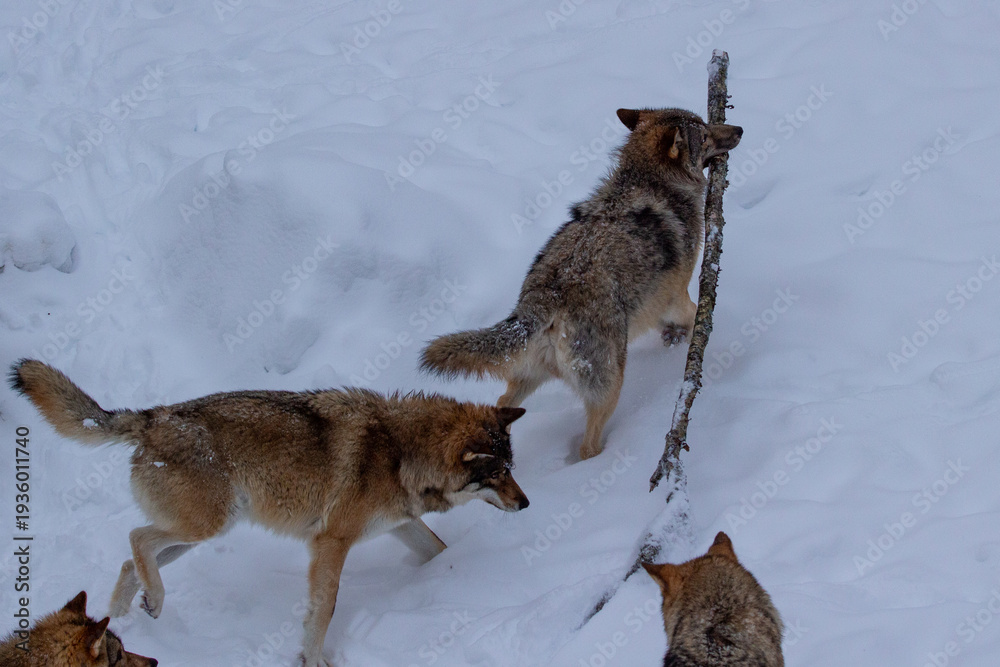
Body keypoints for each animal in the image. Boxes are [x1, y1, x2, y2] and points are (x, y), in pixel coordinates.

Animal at [420, 108, 742, 459]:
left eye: (707, 124)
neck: (652, 181)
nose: (740, 129)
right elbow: (696, 314)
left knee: (503, 401)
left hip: (532, 377)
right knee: (588, 446)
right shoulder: (674, 294)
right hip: (610, 385)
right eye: (706, 134)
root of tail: (543, 299)